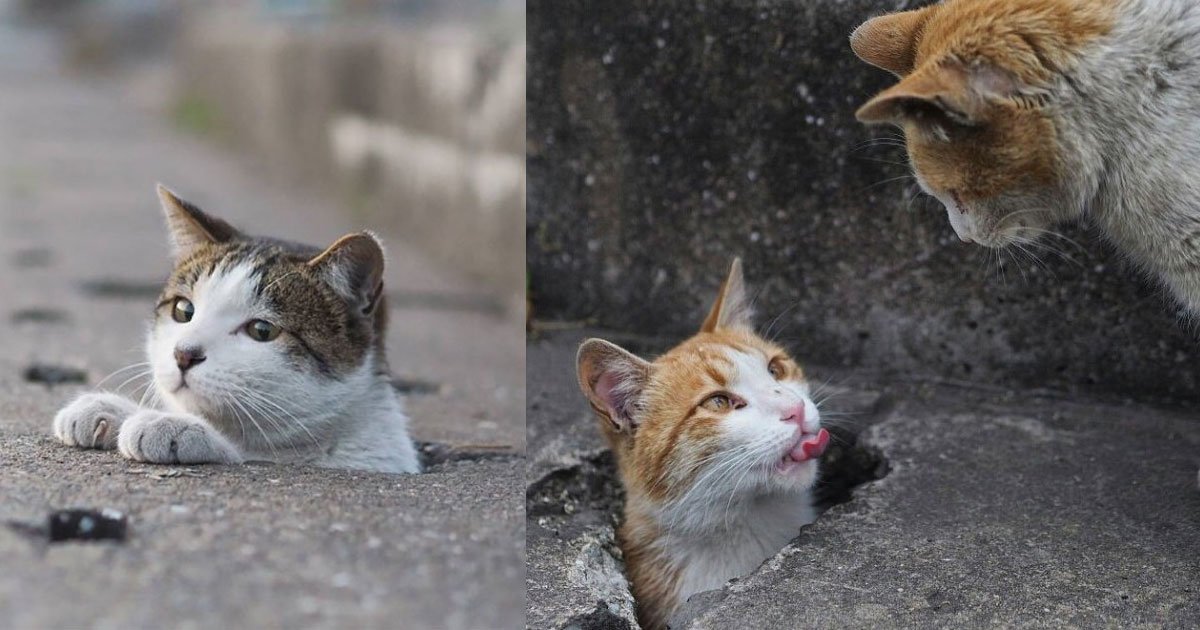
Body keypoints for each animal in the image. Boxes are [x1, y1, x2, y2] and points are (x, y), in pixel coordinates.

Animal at [54, 186, 420, 470]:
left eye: (262, 331)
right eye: (183, 310)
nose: (183, 354)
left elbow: (251, 453)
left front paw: (170, 425)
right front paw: (106, 409)